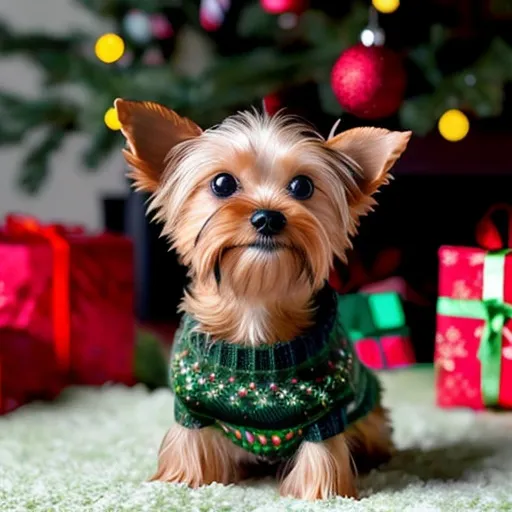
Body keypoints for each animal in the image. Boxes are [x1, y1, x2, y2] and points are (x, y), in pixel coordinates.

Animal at [116, 99, 412, 500]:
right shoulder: (191, 406)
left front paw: (318, 493)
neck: (255, 304)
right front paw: (183, 481)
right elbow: (189, 446)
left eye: (302, 186)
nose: (268, 218)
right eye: (222, 183)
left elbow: (322, 455)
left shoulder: (326, 411)